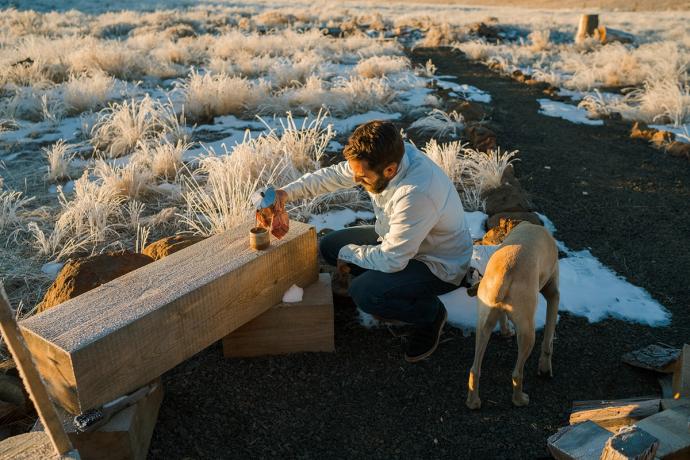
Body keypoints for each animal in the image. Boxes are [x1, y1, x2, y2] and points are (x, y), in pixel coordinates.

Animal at [462, 221, 560, 408]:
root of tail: (505, 275)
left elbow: (503, 318)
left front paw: (506, 332)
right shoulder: (553, 294)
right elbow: (548, 339)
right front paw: (545, 369)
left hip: (483, 324)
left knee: (474, 369)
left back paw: (473, 402)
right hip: (527, 331)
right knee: (517, 373)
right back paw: (520, 399)